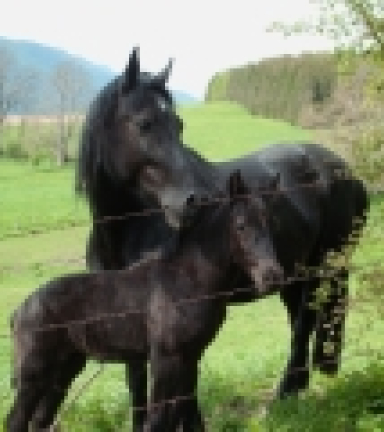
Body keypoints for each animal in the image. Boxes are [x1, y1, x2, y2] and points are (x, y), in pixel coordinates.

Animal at [6, 170, 282, 430]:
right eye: (241, 225)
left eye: (270, 222)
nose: (273, 276)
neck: (187, 280)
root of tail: (20, 310)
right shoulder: (165, 358)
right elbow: (159, 419)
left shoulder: (191, 356)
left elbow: (185, 417)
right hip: (33, 374)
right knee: (16, 420)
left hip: (64, 369)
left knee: (40, 419)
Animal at [76, 46, 368, 398]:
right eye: (144, 123)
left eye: (179, 124)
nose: (193, 201)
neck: (130, 230)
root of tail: (345, 171)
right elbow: (136, 383)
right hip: (293, 273)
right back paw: (296, 386)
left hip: (322, 267)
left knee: (305, 322)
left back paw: (286, 390)